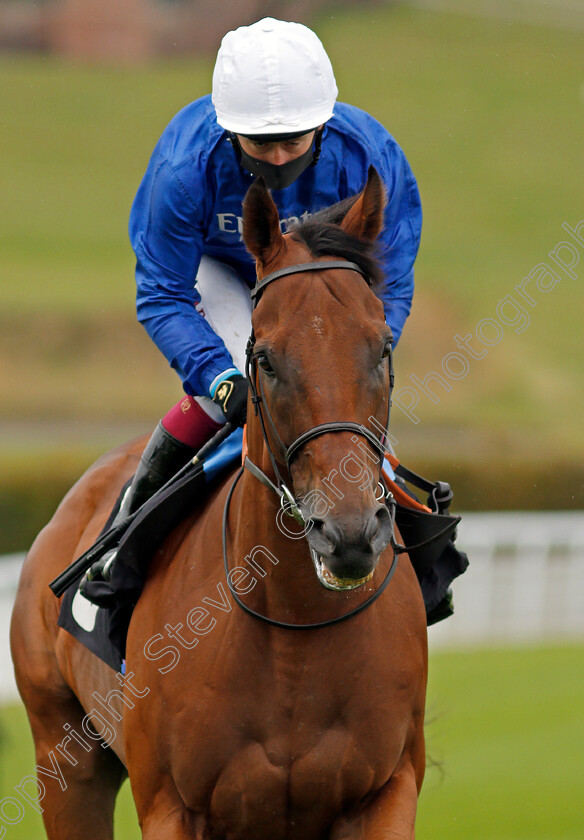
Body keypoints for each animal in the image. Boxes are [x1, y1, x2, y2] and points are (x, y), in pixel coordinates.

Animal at [11, 169, 426, 840]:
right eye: (265, 359)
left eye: (382, 347)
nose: (349, 531)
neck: (294, 632)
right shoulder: (172, 805)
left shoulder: (386, 792)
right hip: (63, 757)